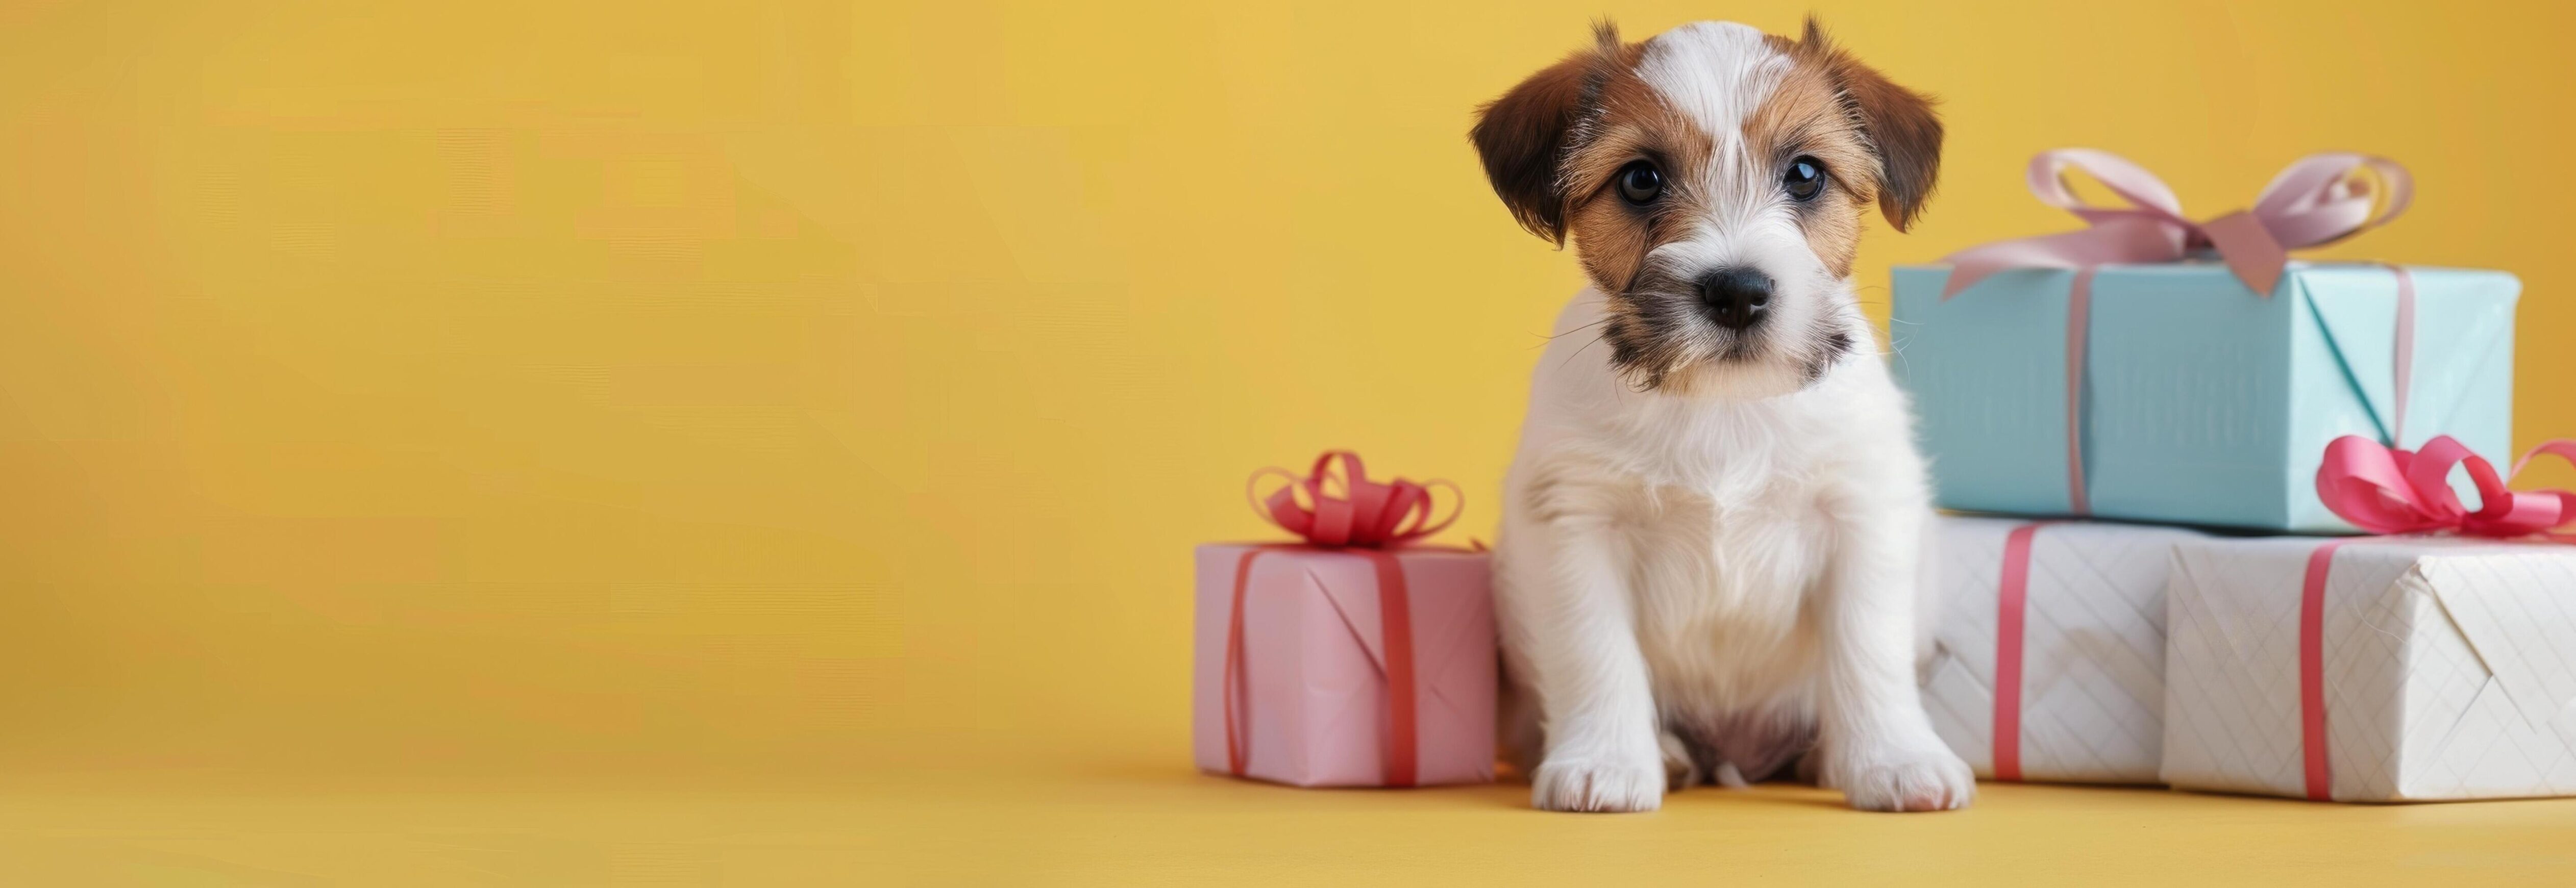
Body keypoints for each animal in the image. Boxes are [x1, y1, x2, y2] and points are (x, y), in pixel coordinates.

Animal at [1473, 19, 1968, 808]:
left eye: (1805, 175)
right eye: (1640, 179)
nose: (1737, 292)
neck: (1723, 405)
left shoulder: (1863, 511)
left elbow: (1868, 646)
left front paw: (1895, 759)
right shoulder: (1577, 522)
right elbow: (1593, 648)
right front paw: (1607, 762)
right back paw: (1669, 755)